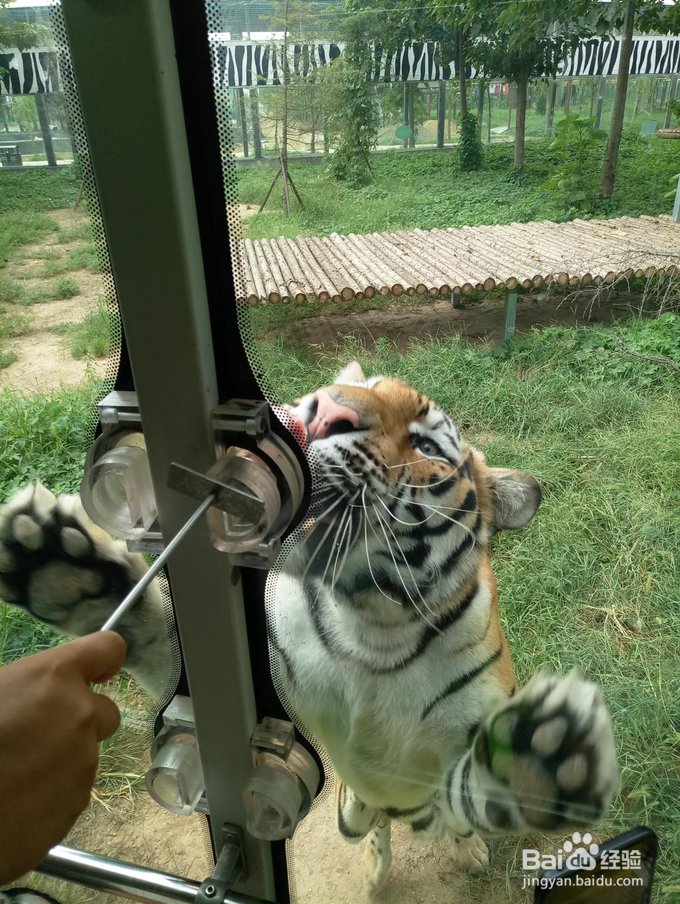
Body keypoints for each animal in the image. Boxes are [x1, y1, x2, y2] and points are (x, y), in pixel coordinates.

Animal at [0, 361, 619, 896]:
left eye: (425, 446)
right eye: (356, 387)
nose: (321, 413)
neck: (376, 629)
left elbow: (475, 790)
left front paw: (545, 753)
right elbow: (168, 653)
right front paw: (57, 565)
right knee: (372, 821)